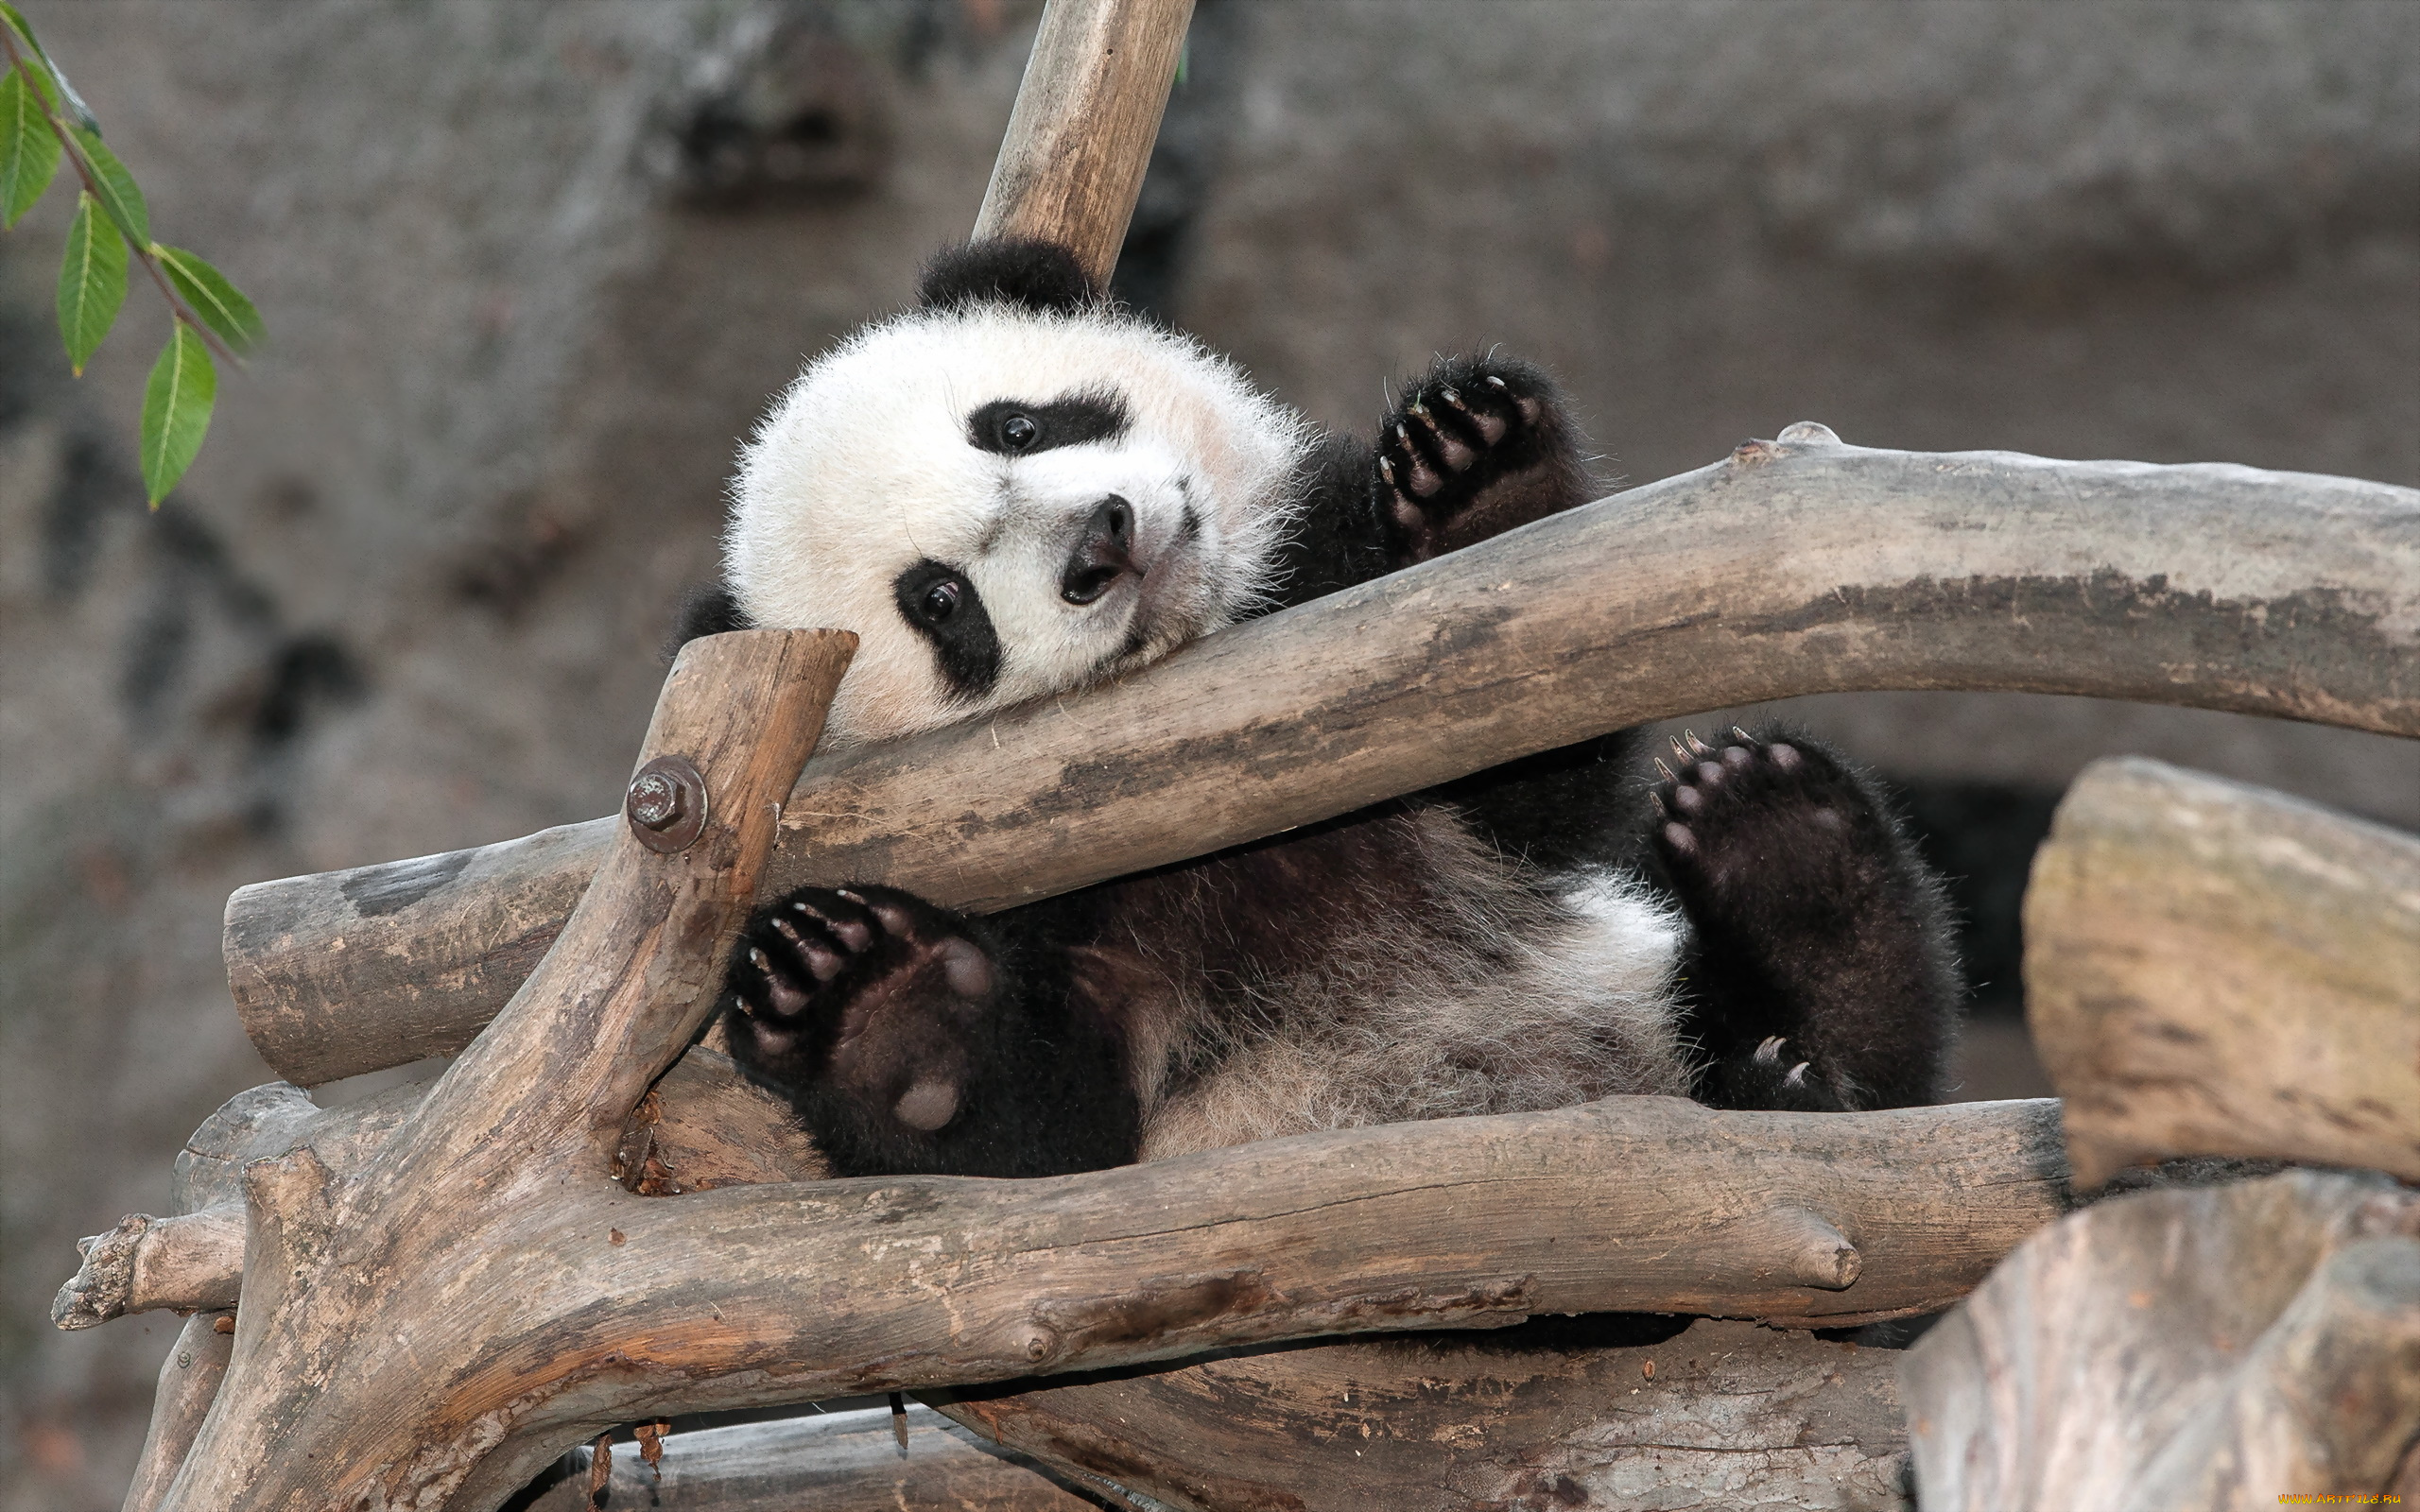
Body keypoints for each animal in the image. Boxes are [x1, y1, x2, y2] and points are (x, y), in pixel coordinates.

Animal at [677, 238, 1962, 1180]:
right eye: (941, 603)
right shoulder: (1027, 875)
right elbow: (1040, 1133)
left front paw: (1479, 487)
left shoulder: (1332, 611)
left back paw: (1795, 868)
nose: (1102, 543)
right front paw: (865, 996)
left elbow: (1528, 770)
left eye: (1017, 424)